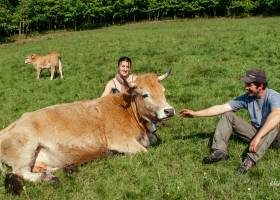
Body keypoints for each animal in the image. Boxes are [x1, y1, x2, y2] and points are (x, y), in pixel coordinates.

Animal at [0, 70, 175, 194]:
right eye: (145, 94)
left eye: (163, 90)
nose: (169, 110)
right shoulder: (121, 140)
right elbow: (145, 151)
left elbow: (154, 140)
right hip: (25, 149)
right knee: (21, 172)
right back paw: (48, 178)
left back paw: (63, 170)